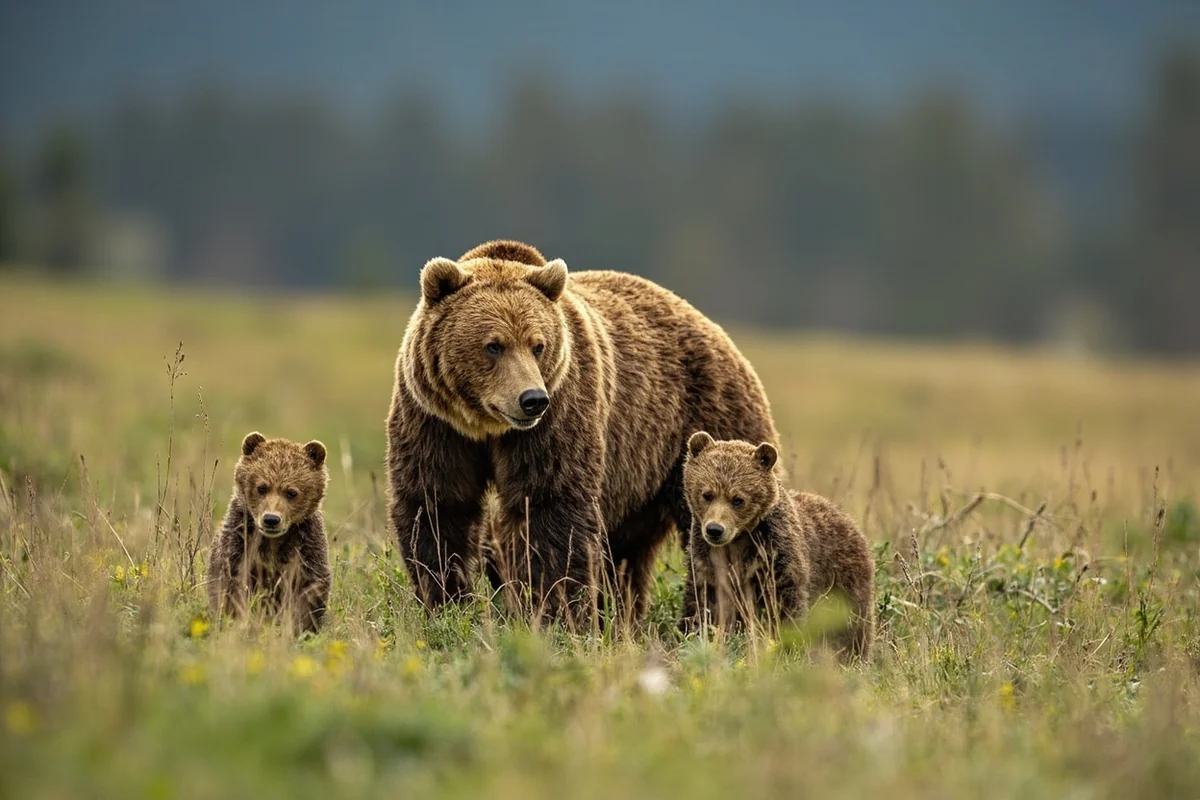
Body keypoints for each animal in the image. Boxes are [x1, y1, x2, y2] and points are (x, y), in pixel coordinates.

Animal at [206, 432, 332, 634]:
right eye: (262, 487)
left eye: (291, 492)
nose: (271, 519)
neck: (273, 541)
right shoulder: (239, 542)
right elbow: (231, 584)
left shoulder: (306, 546)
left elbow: (309, 589)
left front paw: (298, 628)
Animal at [386, 239, 778, 626]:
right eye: (493, 345)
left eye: (538, 345)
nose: (532, 400)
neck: (488, 428)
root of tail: (717, 330)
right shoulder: (436, 423)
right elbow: (438, 505)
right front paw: (445, 603)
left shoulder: (559, 416)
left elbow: (551, 508)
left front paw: (555, 612)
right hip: (636, 479)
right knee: (626, 552)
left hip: (705, 426)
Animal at [681, 431, 875, 661]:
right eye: (707, 494)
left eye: (738, 499)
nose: (715, 529)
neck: (740, 539)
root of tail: (850, 521)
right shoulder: (706, 561)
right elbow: (703, 604)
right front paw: (697, 635)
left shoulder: (776, 556)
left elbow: (786, 605)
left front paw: (787, 647)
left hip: (843, 580)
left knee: (851, 624)